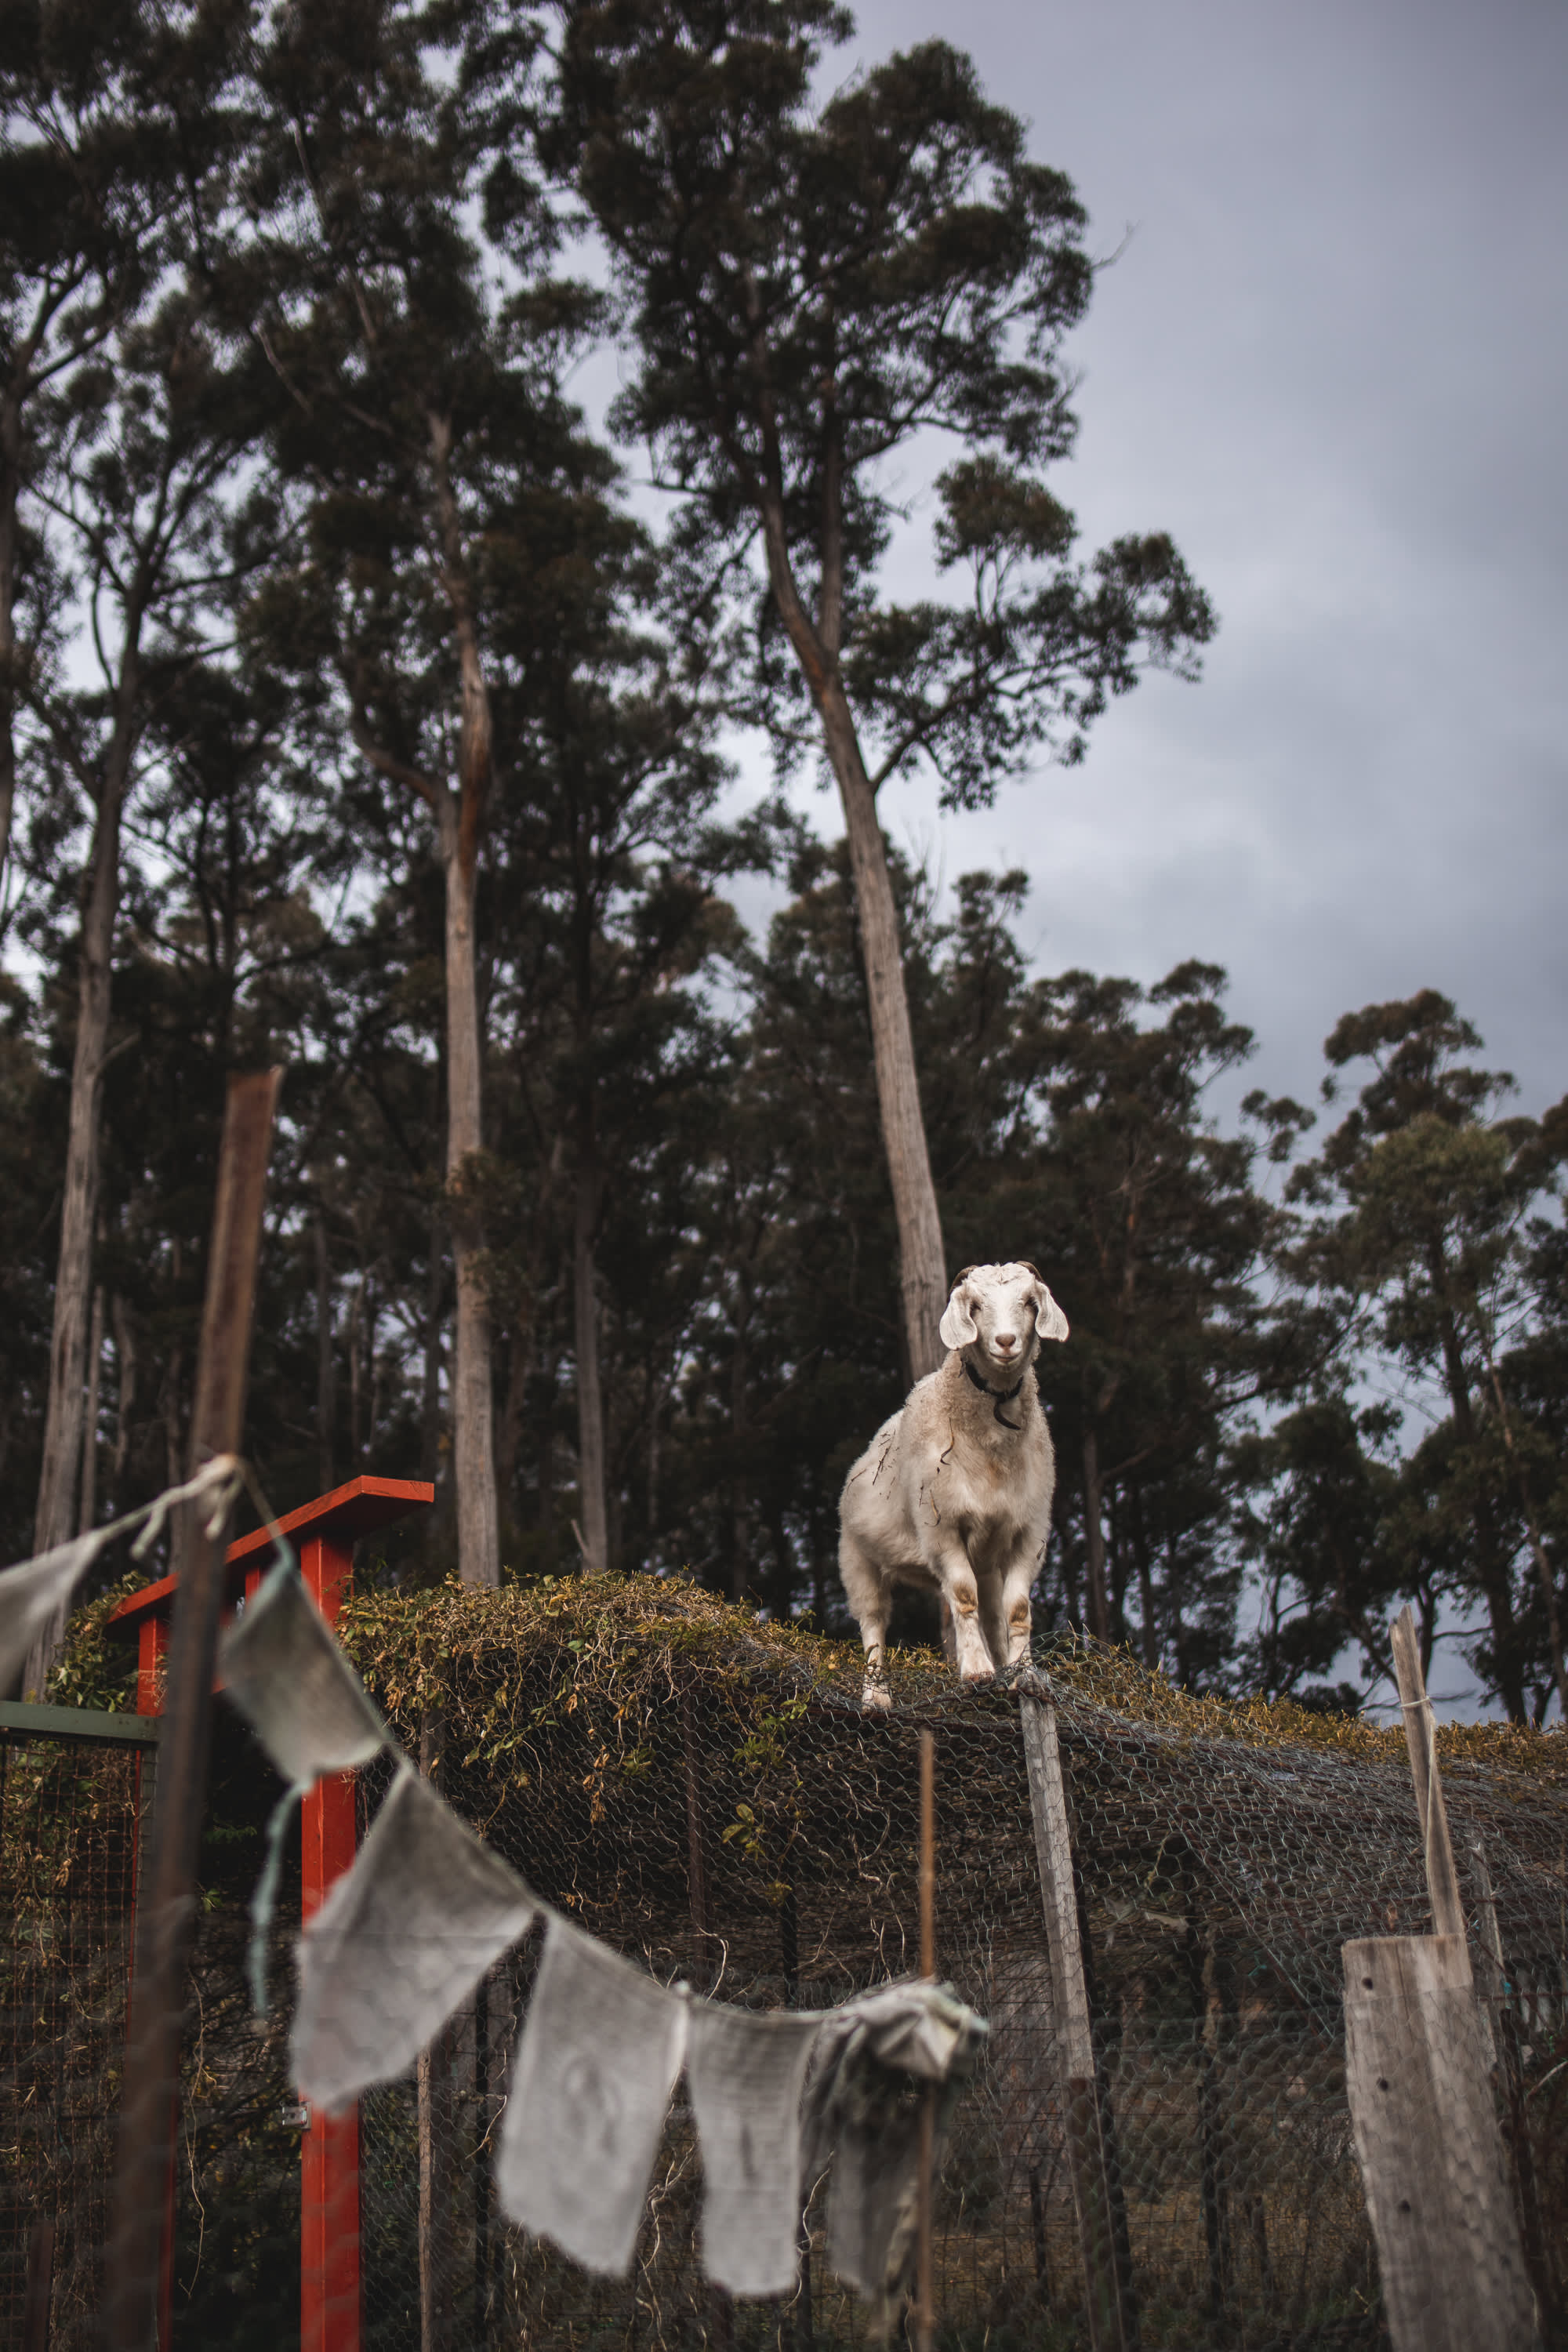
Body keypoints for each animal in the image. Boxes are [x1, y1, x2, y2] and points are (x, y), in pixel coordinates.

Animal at [838, 1261, 1069, 1708]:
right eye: (974, 1305)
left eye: (1030, 1302)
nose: (1006, 1341)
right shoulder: (941, 1526)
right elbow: (962, 1595)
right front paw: (976, 1673)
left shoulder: (1029, 1531)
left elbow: (1017, 1610)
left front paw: (1024, 1676)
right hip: (857, 1558)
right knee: (874, 1624)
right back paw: (876, 1697)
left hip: (988, 1562)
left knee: (993, 1613)